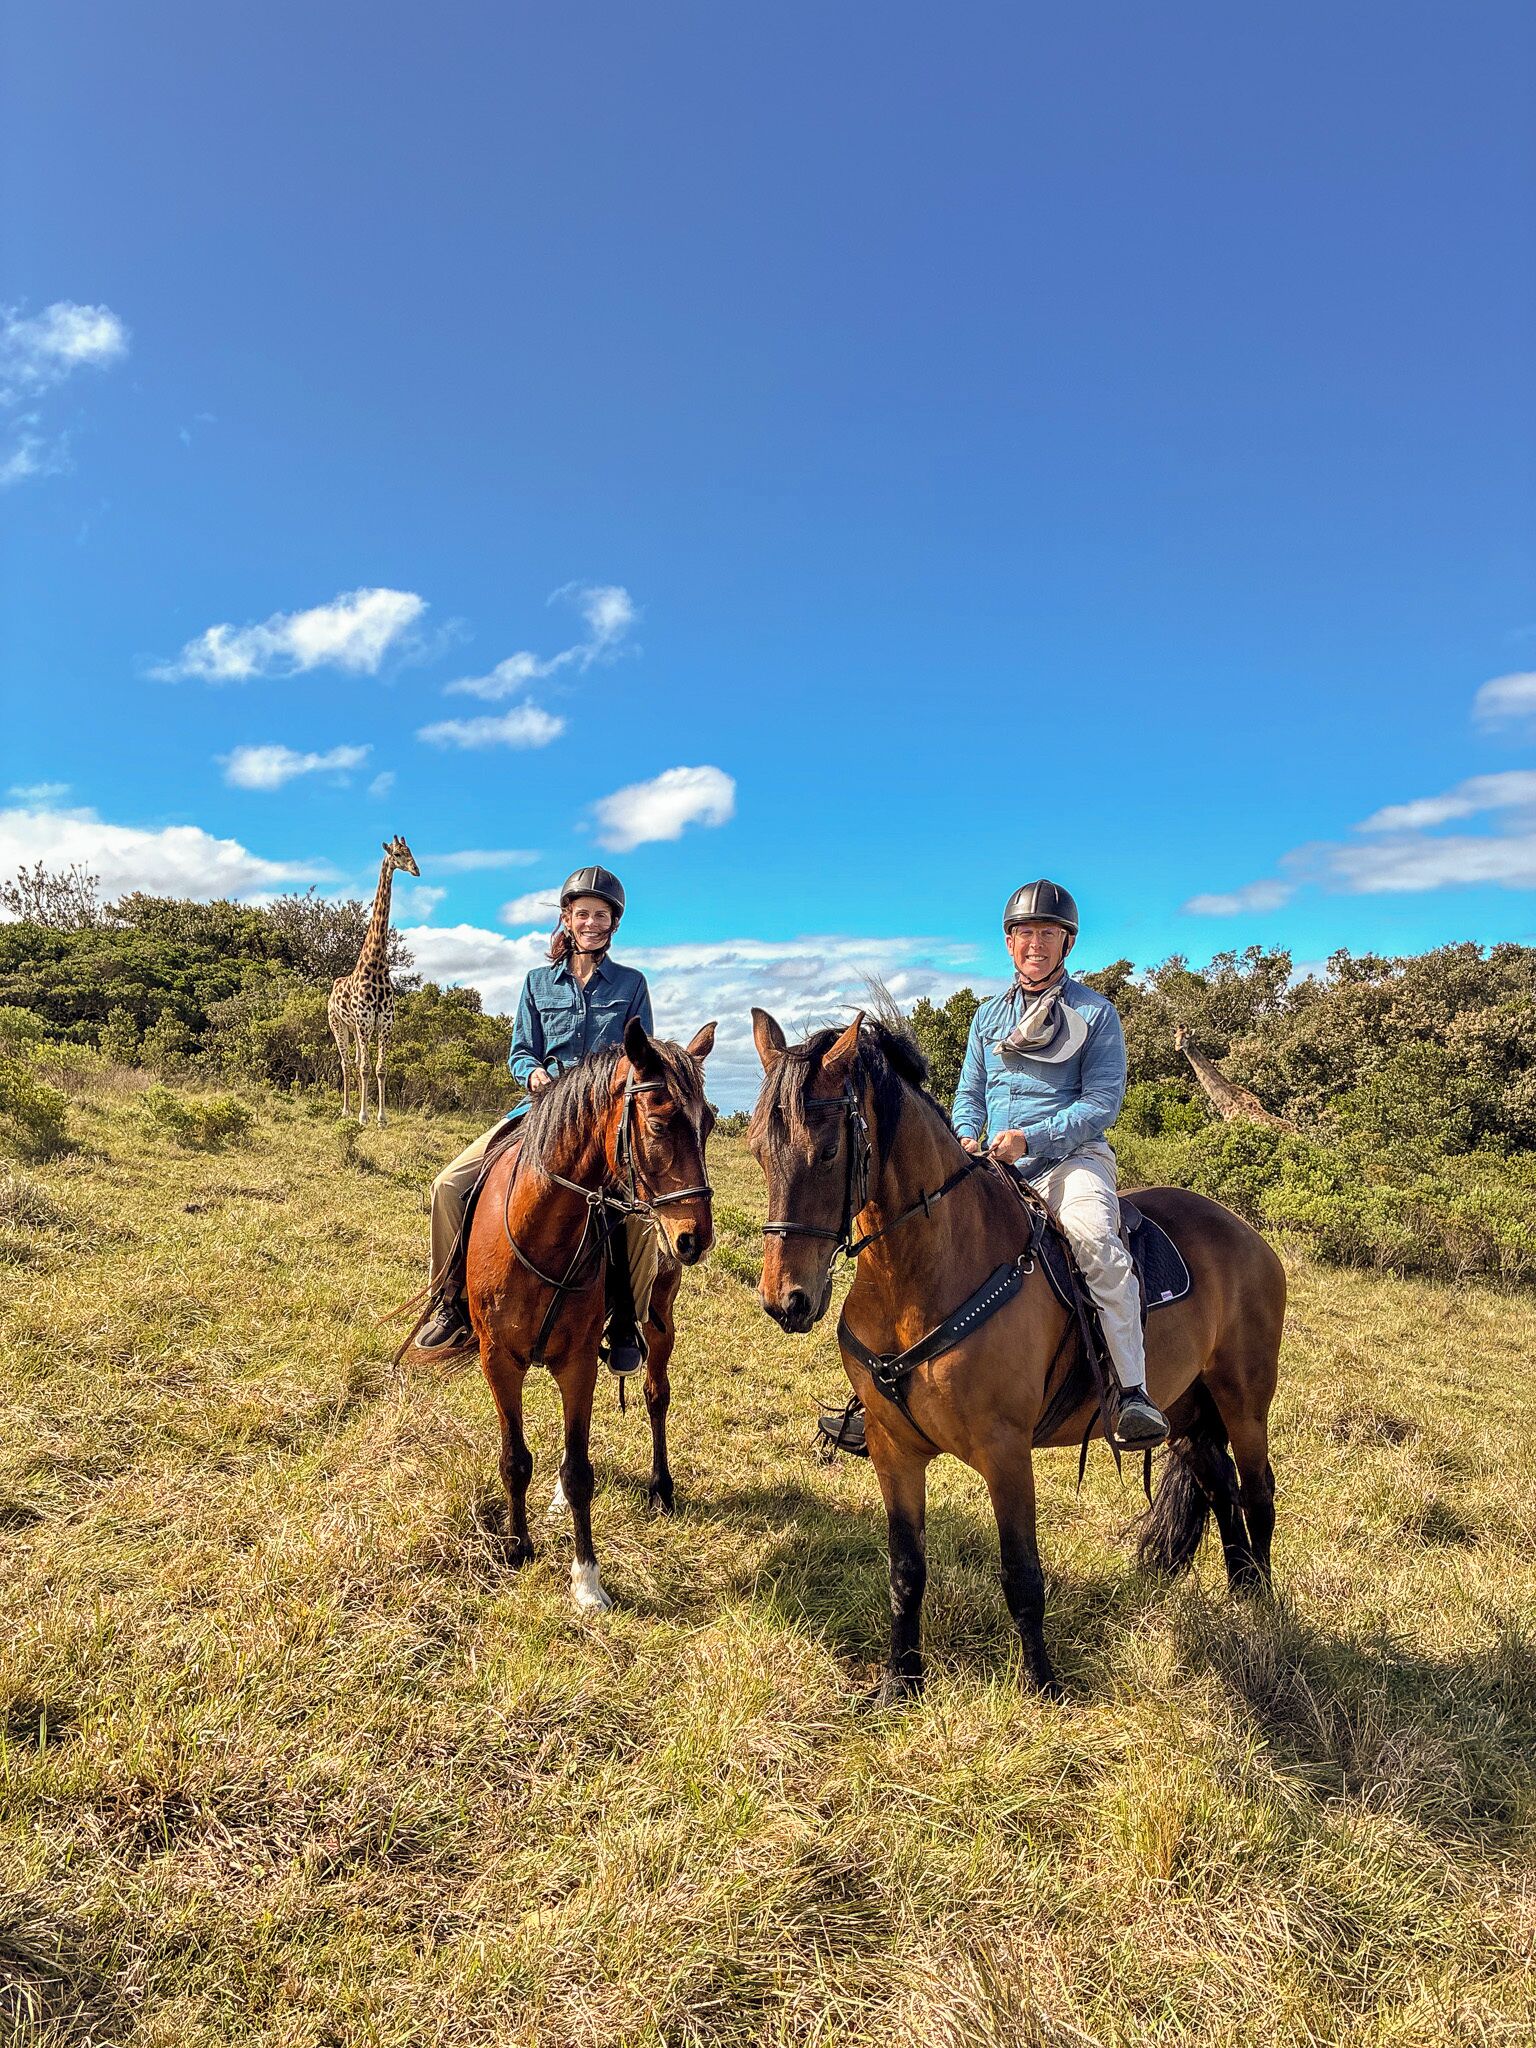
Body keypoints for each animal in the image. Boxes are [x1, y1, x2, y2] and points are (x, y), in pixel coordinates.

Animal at [328, 836, 420, 1125]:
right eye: (398, 854)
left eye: (412, 852)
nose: (416, 870)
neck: (376, 965)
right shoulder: (365, 1023)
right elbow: (365, 1068)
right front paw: (362, 1115)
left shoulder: (384, 1025)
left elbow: (379, 1068)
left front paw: (381, 1117)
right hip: (339, 1025)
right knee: (347, 1063)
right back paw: (346, 1110)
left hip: (354, 1029)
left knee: (356, 1061)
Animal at [466, 1017, 717, 1613]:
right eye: (658, 1122)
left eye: (711, 1124)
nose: (695, 1239)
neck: (539, 1231)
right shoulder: (498, 1360)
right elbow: (517, 1459)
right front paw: (518, 1548)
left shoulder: (577, 1363)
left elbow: (580, 1470)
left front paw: (586, 1579)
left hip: (658, 1319)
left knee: (655, 1395)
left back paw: (661, 1487)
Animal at [747, 1009, 1285, 1700]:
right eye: (759, 1152)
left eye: (829, 1152)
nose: (785, 1300)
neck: (919, 1276)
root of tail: (1247, 1233)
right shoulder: (894, 1450)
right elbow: (905, 1569)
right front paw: (901, 1679)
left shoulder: (1005, 1451)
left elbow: (1021, 1571)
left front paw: (1042, 1684)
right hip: (1187, 1410)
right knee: (1220, 1487)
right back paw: (1241, 1597)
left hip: (1243, 1400)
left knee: (1257, 1493)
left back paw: (1264, 1614)